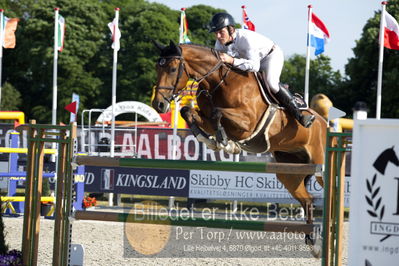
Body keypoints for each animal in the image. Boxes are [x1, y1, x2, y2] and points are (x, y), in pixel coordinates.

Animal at [152, 41, 328, 247]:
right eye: (157, 68)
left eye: (172, 69)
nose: (158, 105)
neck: (218, 83)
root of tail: (324, 123)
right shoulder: (207, 117)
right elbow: (189, 112)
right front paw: (213, 140)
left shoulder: (247, 123)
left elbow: (218, 113)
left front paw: (225, 142)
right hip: (289, 171)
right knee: (307, 200)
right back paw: (311, 238)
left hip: (320, 164)